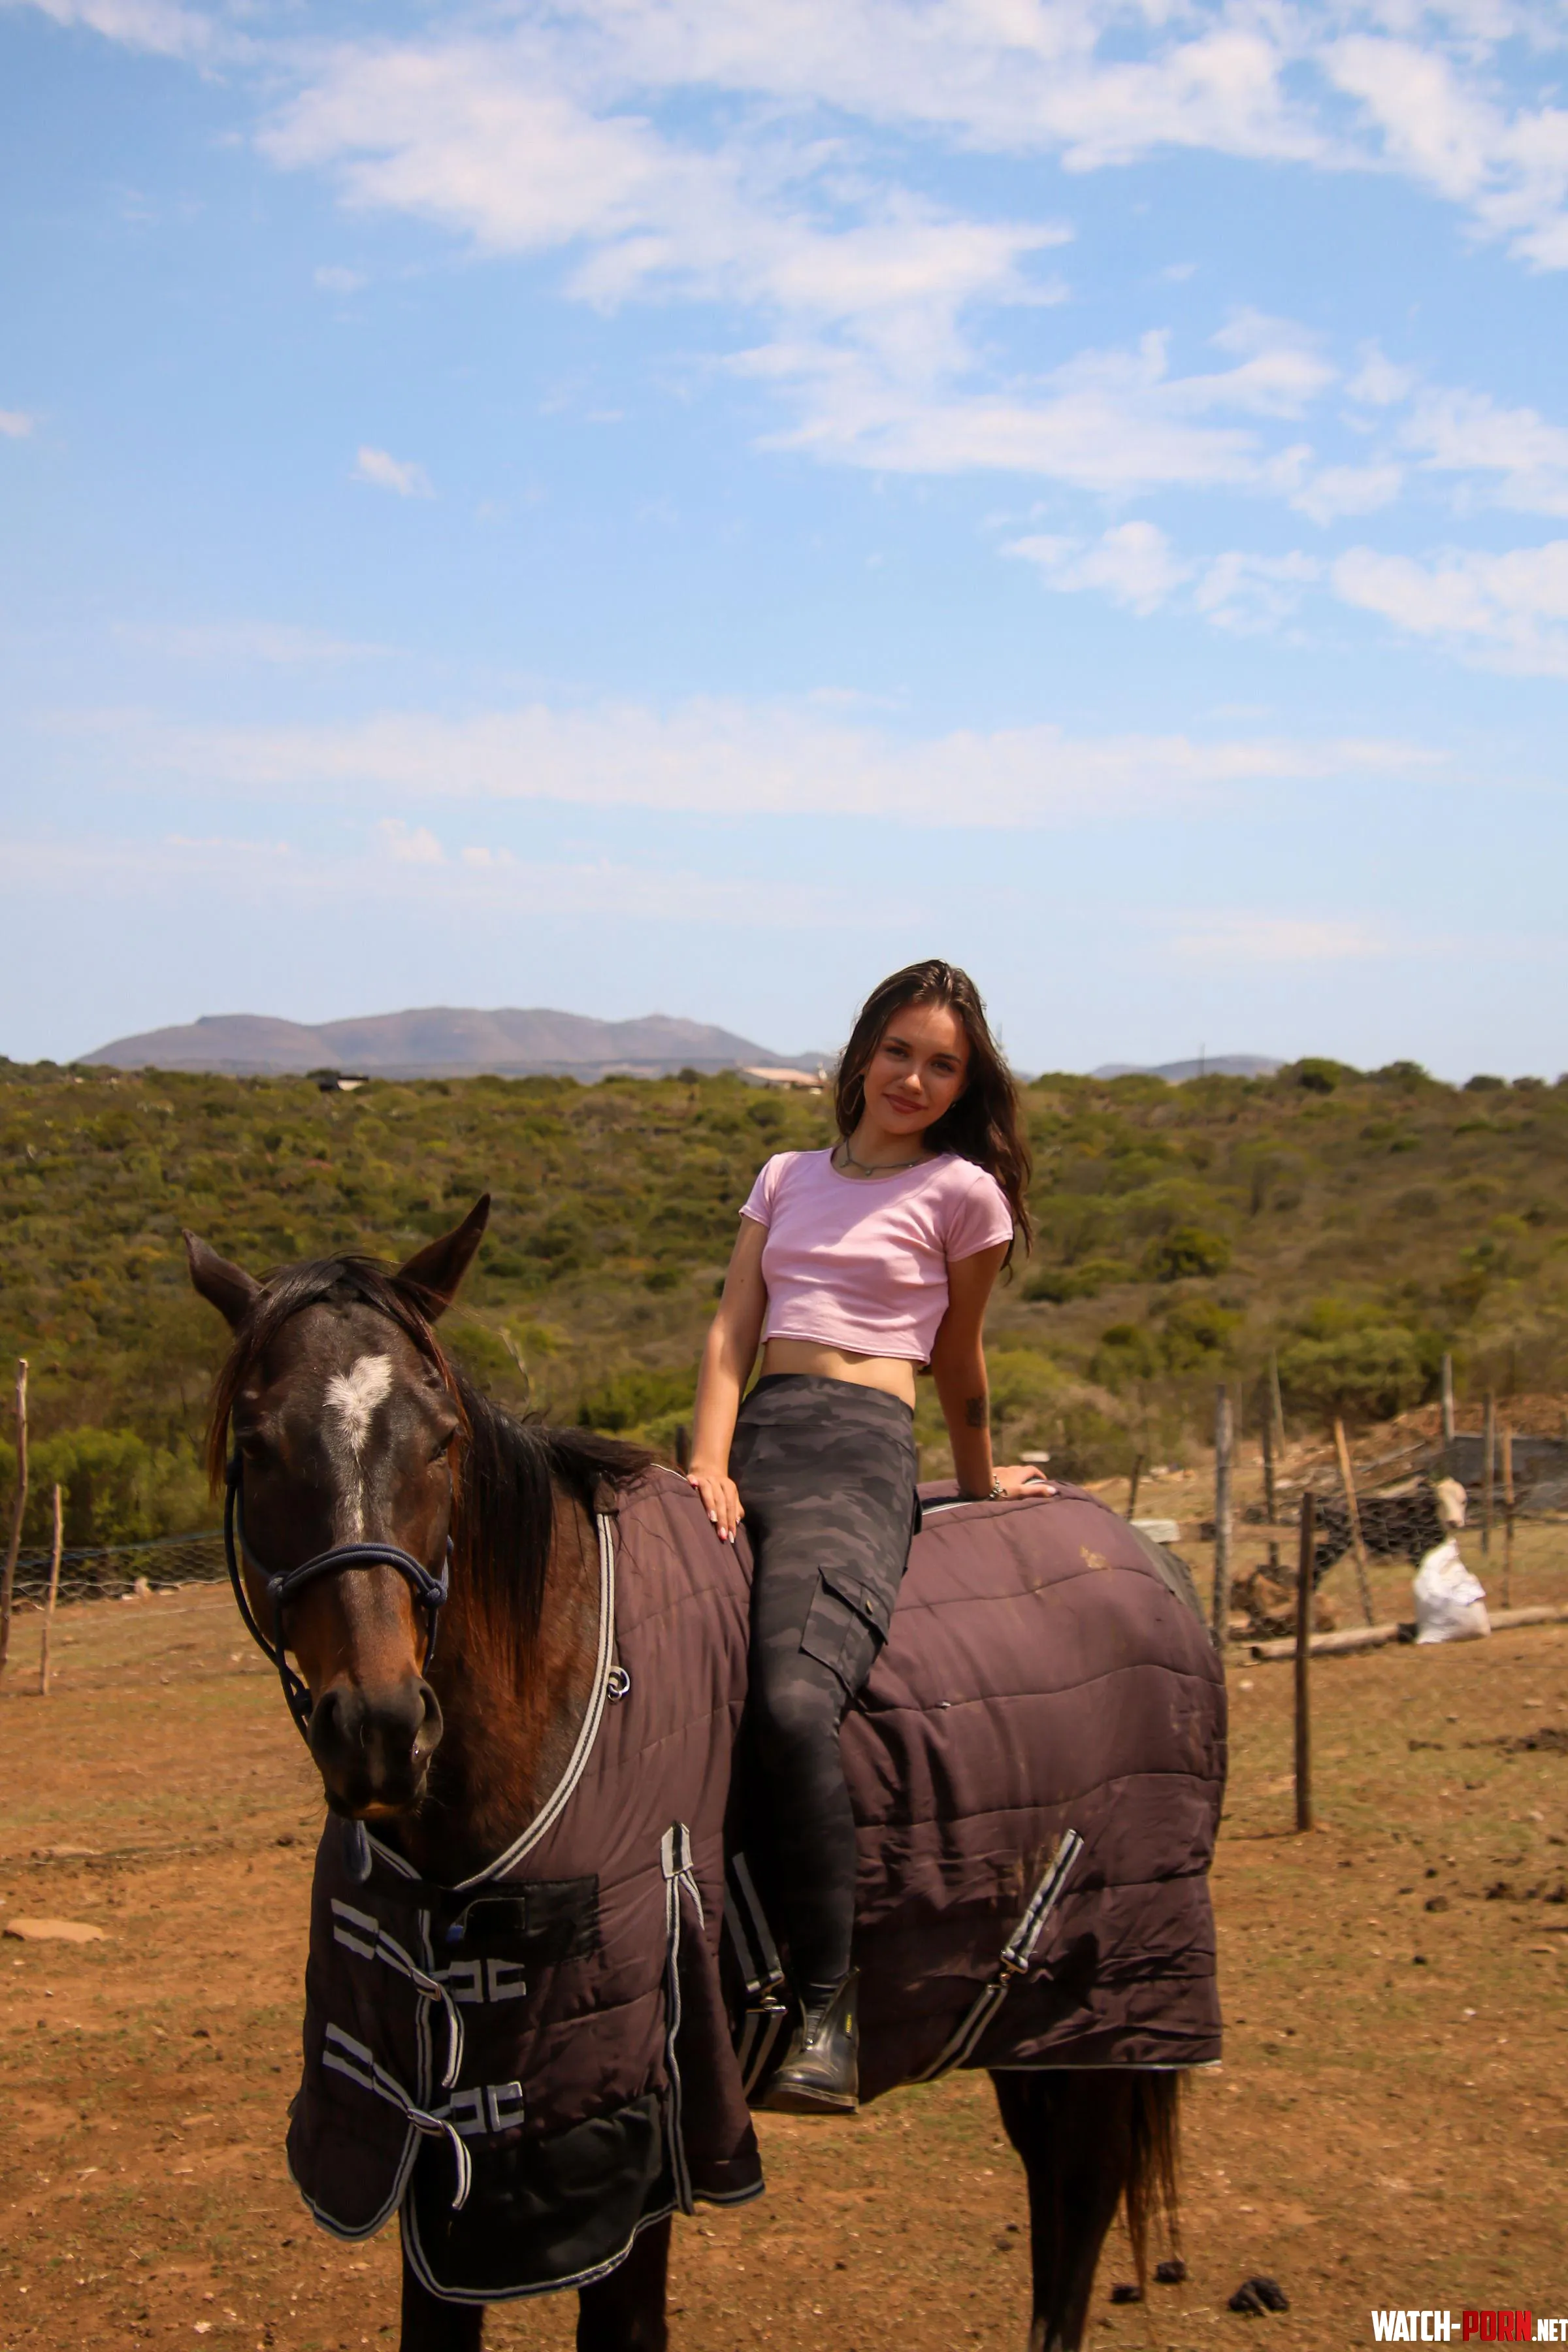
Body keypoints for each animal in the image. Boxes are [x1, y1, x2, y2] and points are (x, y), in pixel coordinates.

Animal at [185, 1196, 1221, 2352]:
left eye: (442, 1437)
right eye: (256, 1445)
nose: (378, 1727)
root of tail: (1146, 1558)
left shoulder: (638, 2144)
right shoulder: (433, 2157)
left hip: (1110, 1999)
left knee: (1078, 2206)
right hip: (1031, 2020)